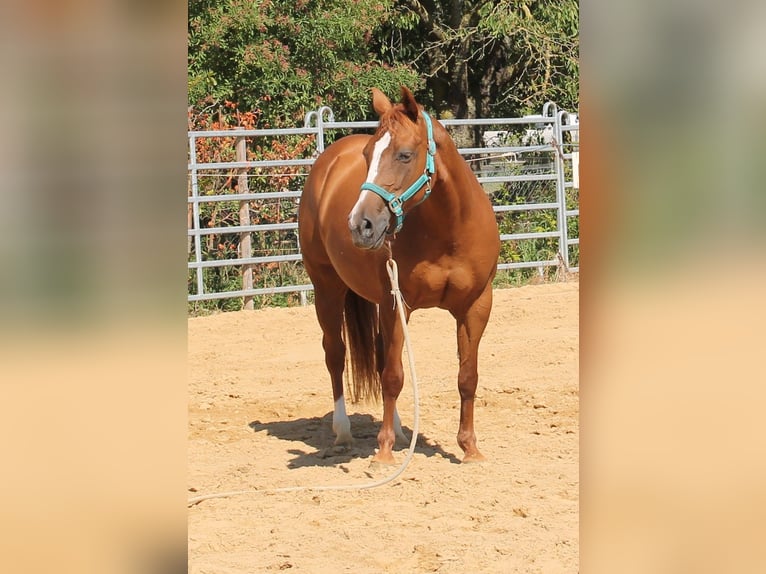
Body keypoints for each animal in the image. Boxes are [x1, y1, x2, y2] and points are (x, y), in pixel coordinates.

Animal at [298, 86, 500, 463]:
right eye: (367, 155)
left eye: (405, 155)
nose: (359, 225)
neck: (448, 232)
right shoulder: (397, 305)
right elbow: (392, 376)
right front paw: (384, 452)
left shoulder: (477, 306)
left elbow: (467, 376)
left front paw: (470, 448)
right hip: (327, 289)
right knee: (336, 354)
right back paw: (343, 432)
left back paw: (402, 429)